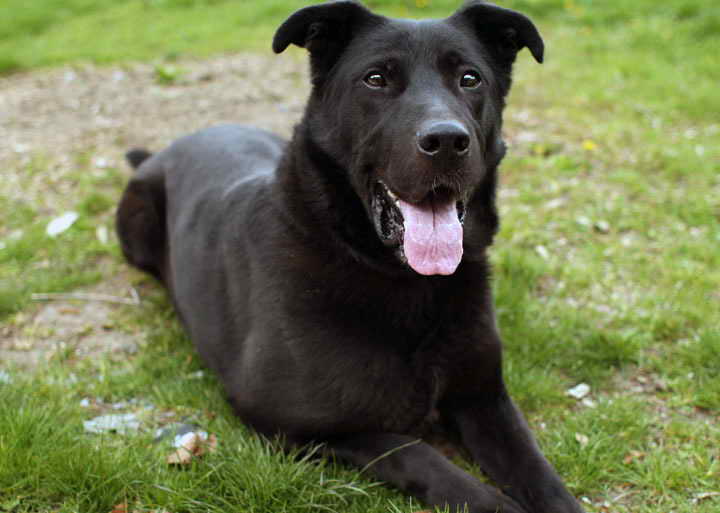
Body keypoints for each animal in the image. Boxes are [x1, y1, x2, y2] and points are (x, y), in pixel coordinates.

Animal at [116, 2, 584, 510]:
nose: (446, 141)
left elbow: (541, 475)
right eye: (376, 79)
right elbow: (423, 458)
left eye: (470, 79)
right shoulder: (297, 426)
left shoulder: (486, 399)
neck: (404, 280)